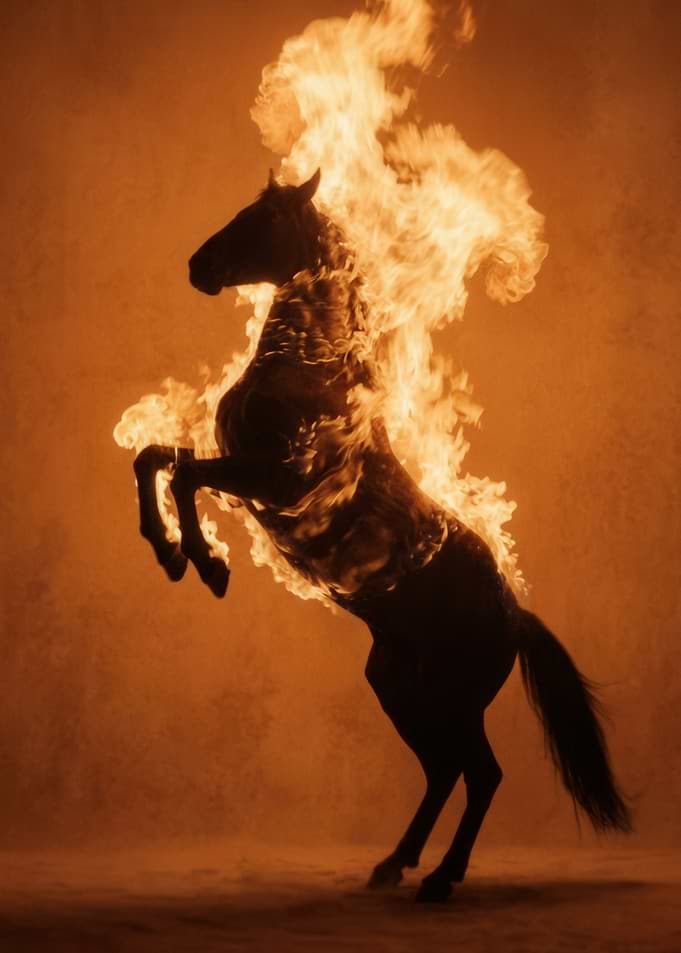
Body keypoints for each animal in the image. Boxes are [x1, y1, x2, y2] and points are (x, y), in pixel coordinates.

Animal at [132, 168, 631, 902]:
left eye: (262, 219)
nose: (199, 266)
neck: (306, 370)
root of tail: (514, 615)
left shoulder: (272, 480)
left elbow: (185, 473)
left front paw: (199, 560)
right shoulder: (242, 472)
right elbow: (156, 460)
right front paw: (172, 552)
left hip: (453, 694)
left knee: (481, 773)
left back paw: (442, 878)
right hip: (398, 684)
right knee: (444, 770)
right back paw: (395, 862)